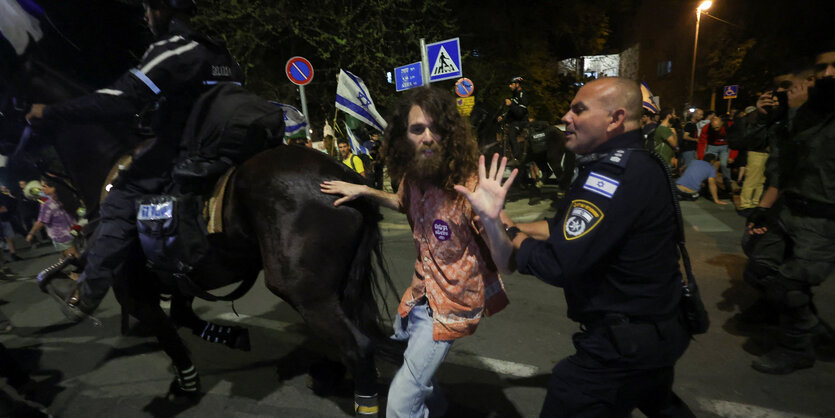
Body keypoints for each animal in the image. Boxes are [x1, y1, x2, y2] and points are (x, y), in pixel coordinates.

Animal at [0, 31, 396, 418]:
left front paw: (187, 384)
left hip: (301, 288)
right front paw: (227, 337)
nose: (11, 166)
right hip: (334, 284)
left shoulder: (135, 292)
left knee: (358, 345)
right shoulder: (180, 279)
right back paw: (327, 373)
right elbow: (182, 318)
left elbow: (171, 338)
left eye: (10, 100)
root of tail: (343, 176)